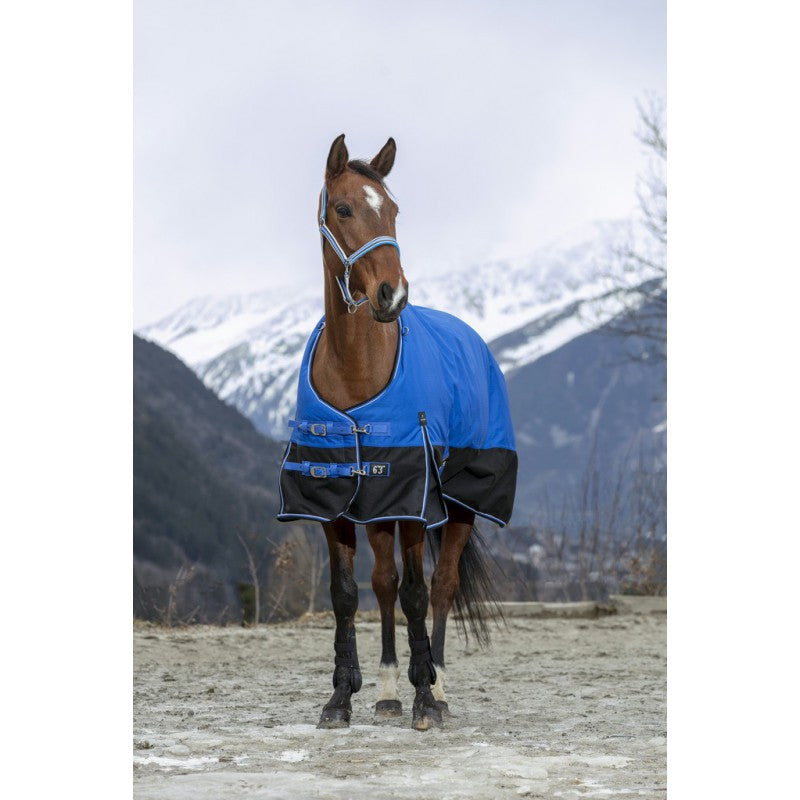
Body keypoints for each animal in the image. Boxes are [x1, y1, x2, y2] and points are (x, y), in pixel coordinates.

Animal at [277, 134, 517, 730]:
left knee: (442, 586)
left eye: (393, 210)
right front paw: (341, 697)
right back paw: (388, 690)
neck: (356, 373)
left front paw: (425, 697)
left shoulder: (415, 500)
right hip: (380, 509)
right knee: (384, 584)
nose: (393, 295)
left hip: (460, 503)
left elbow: (417, 593)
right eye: (343, 208)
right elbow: (348, 594)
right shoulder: (336, 501)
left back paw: (440, 685)